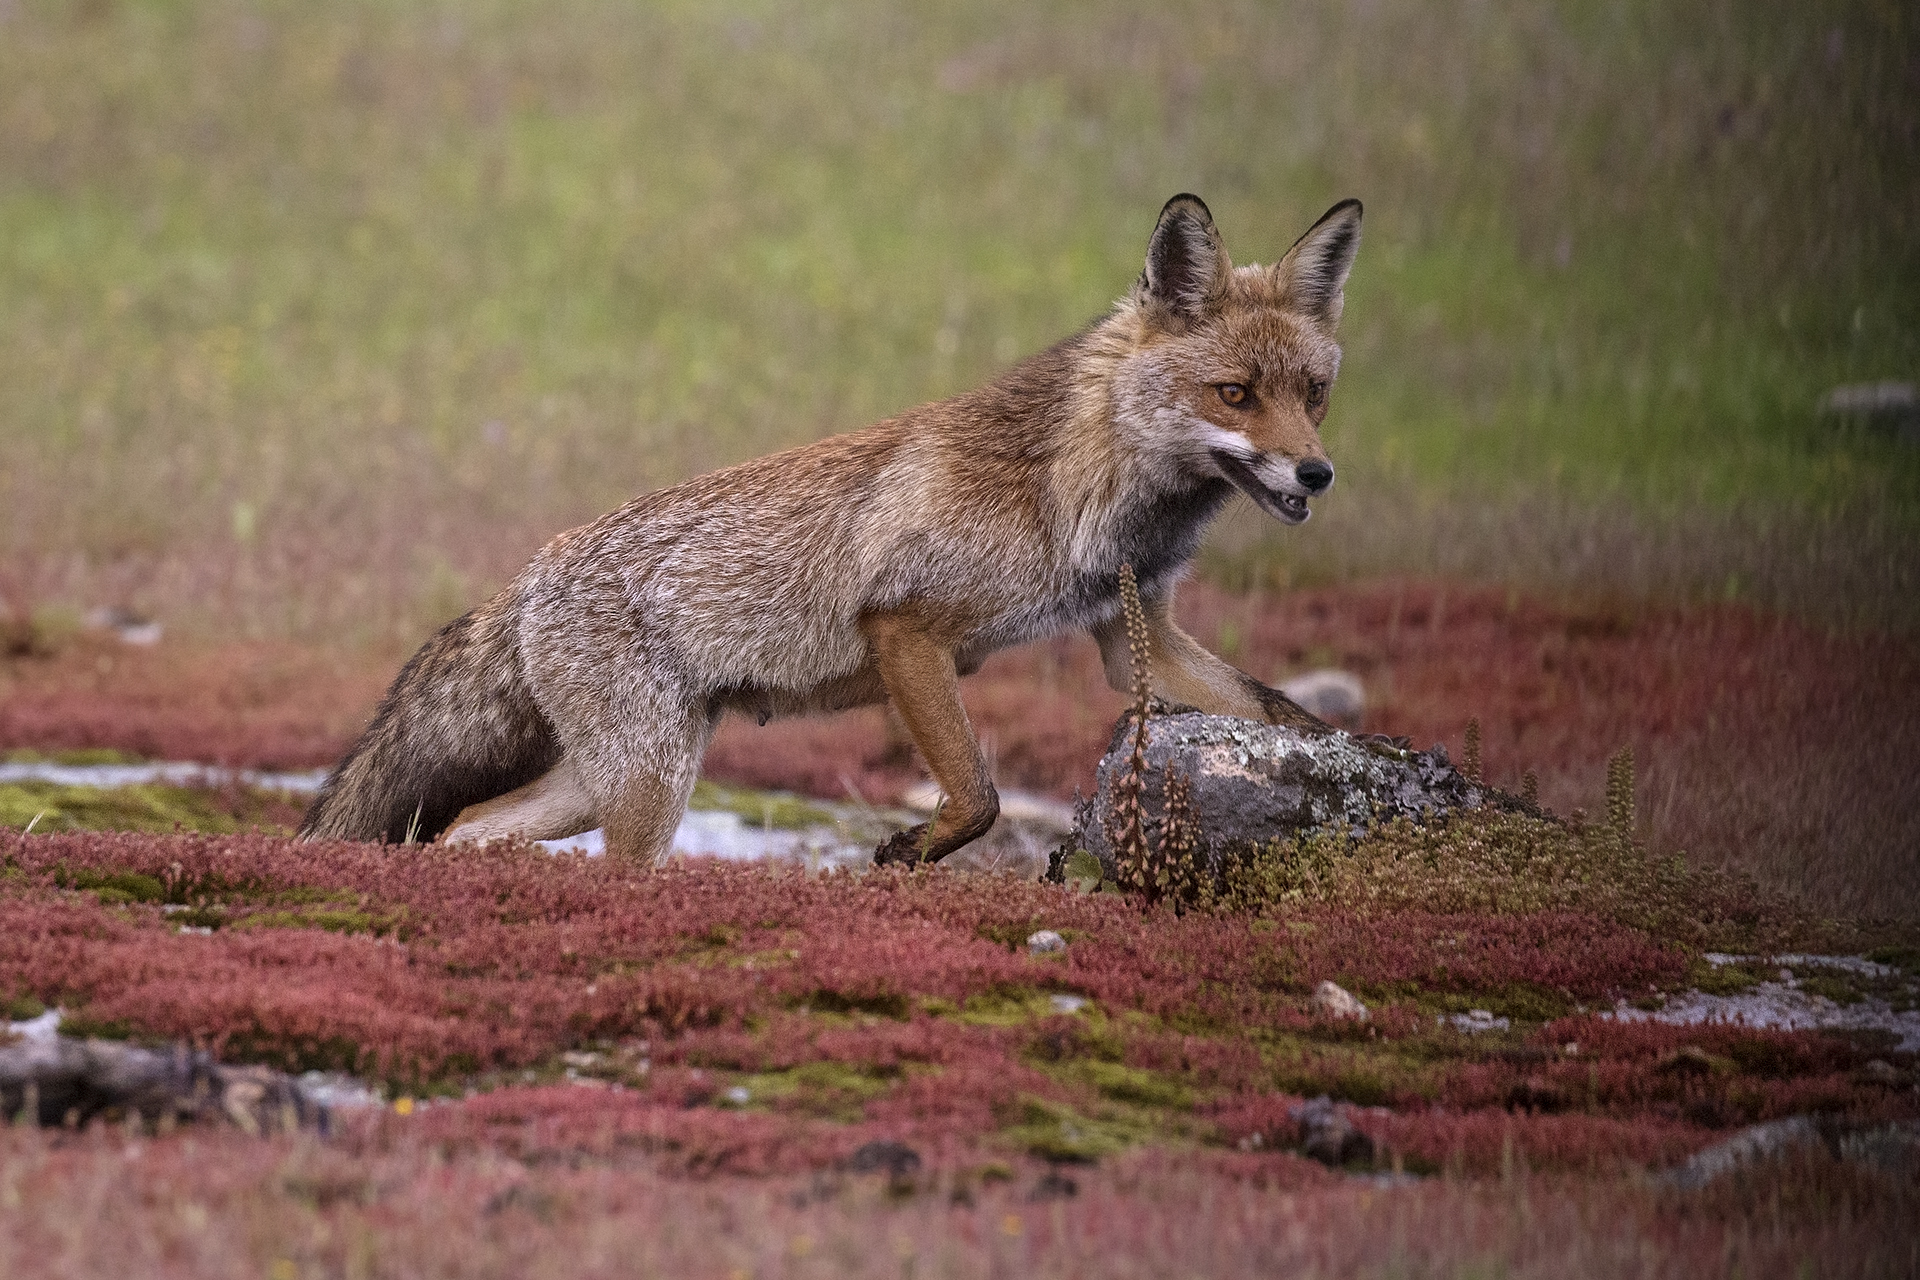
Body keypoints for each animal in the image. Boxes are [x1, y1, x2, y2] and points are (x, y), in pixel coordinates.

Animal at [299, 193, 1364, 864]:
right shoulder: (907, 630)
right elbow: (977, 794)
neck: (1074, 487)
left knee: (462, 826)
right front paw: (913, 848)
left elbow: (1282, 715)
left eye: (1313, 394)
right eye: (1235, 394)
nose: (1318, 472)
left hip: (609, 781)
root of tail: (530, 572)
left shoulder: (1131, 631)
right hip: (645, 792)